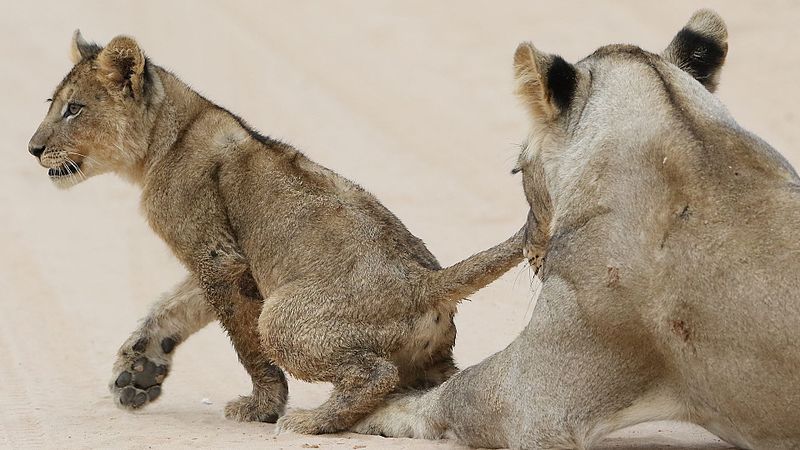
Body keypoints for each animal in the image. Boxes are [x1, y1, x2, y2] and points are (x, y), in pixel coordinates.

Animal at [354, 10, 800, 450]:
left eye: (517, 170)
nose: (529, 249)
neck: (690, 133)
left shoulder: (532, 403)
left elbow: (457, 390)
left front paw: (380, 409)